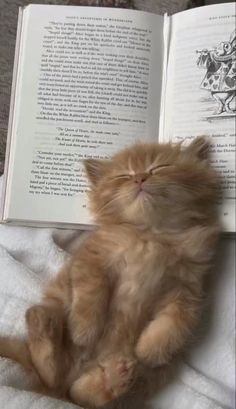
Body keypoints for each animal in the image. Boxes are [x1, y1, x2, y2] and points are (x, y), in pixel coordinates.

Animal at [0, 136, 221, 404]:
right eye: (124, 176)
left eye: (159, 167)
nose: (140, 178)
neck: (151, 235)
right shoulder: (92, 259)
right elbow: (91, 293)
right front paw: (84, 330)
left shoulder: (189, 289)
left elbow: (178, 321)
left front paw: (150, 348)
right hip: (58, 308)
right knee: (49, 372)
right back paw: (42, 325)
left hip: (148, 376)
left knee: (82, 395)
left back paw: (114, 378)